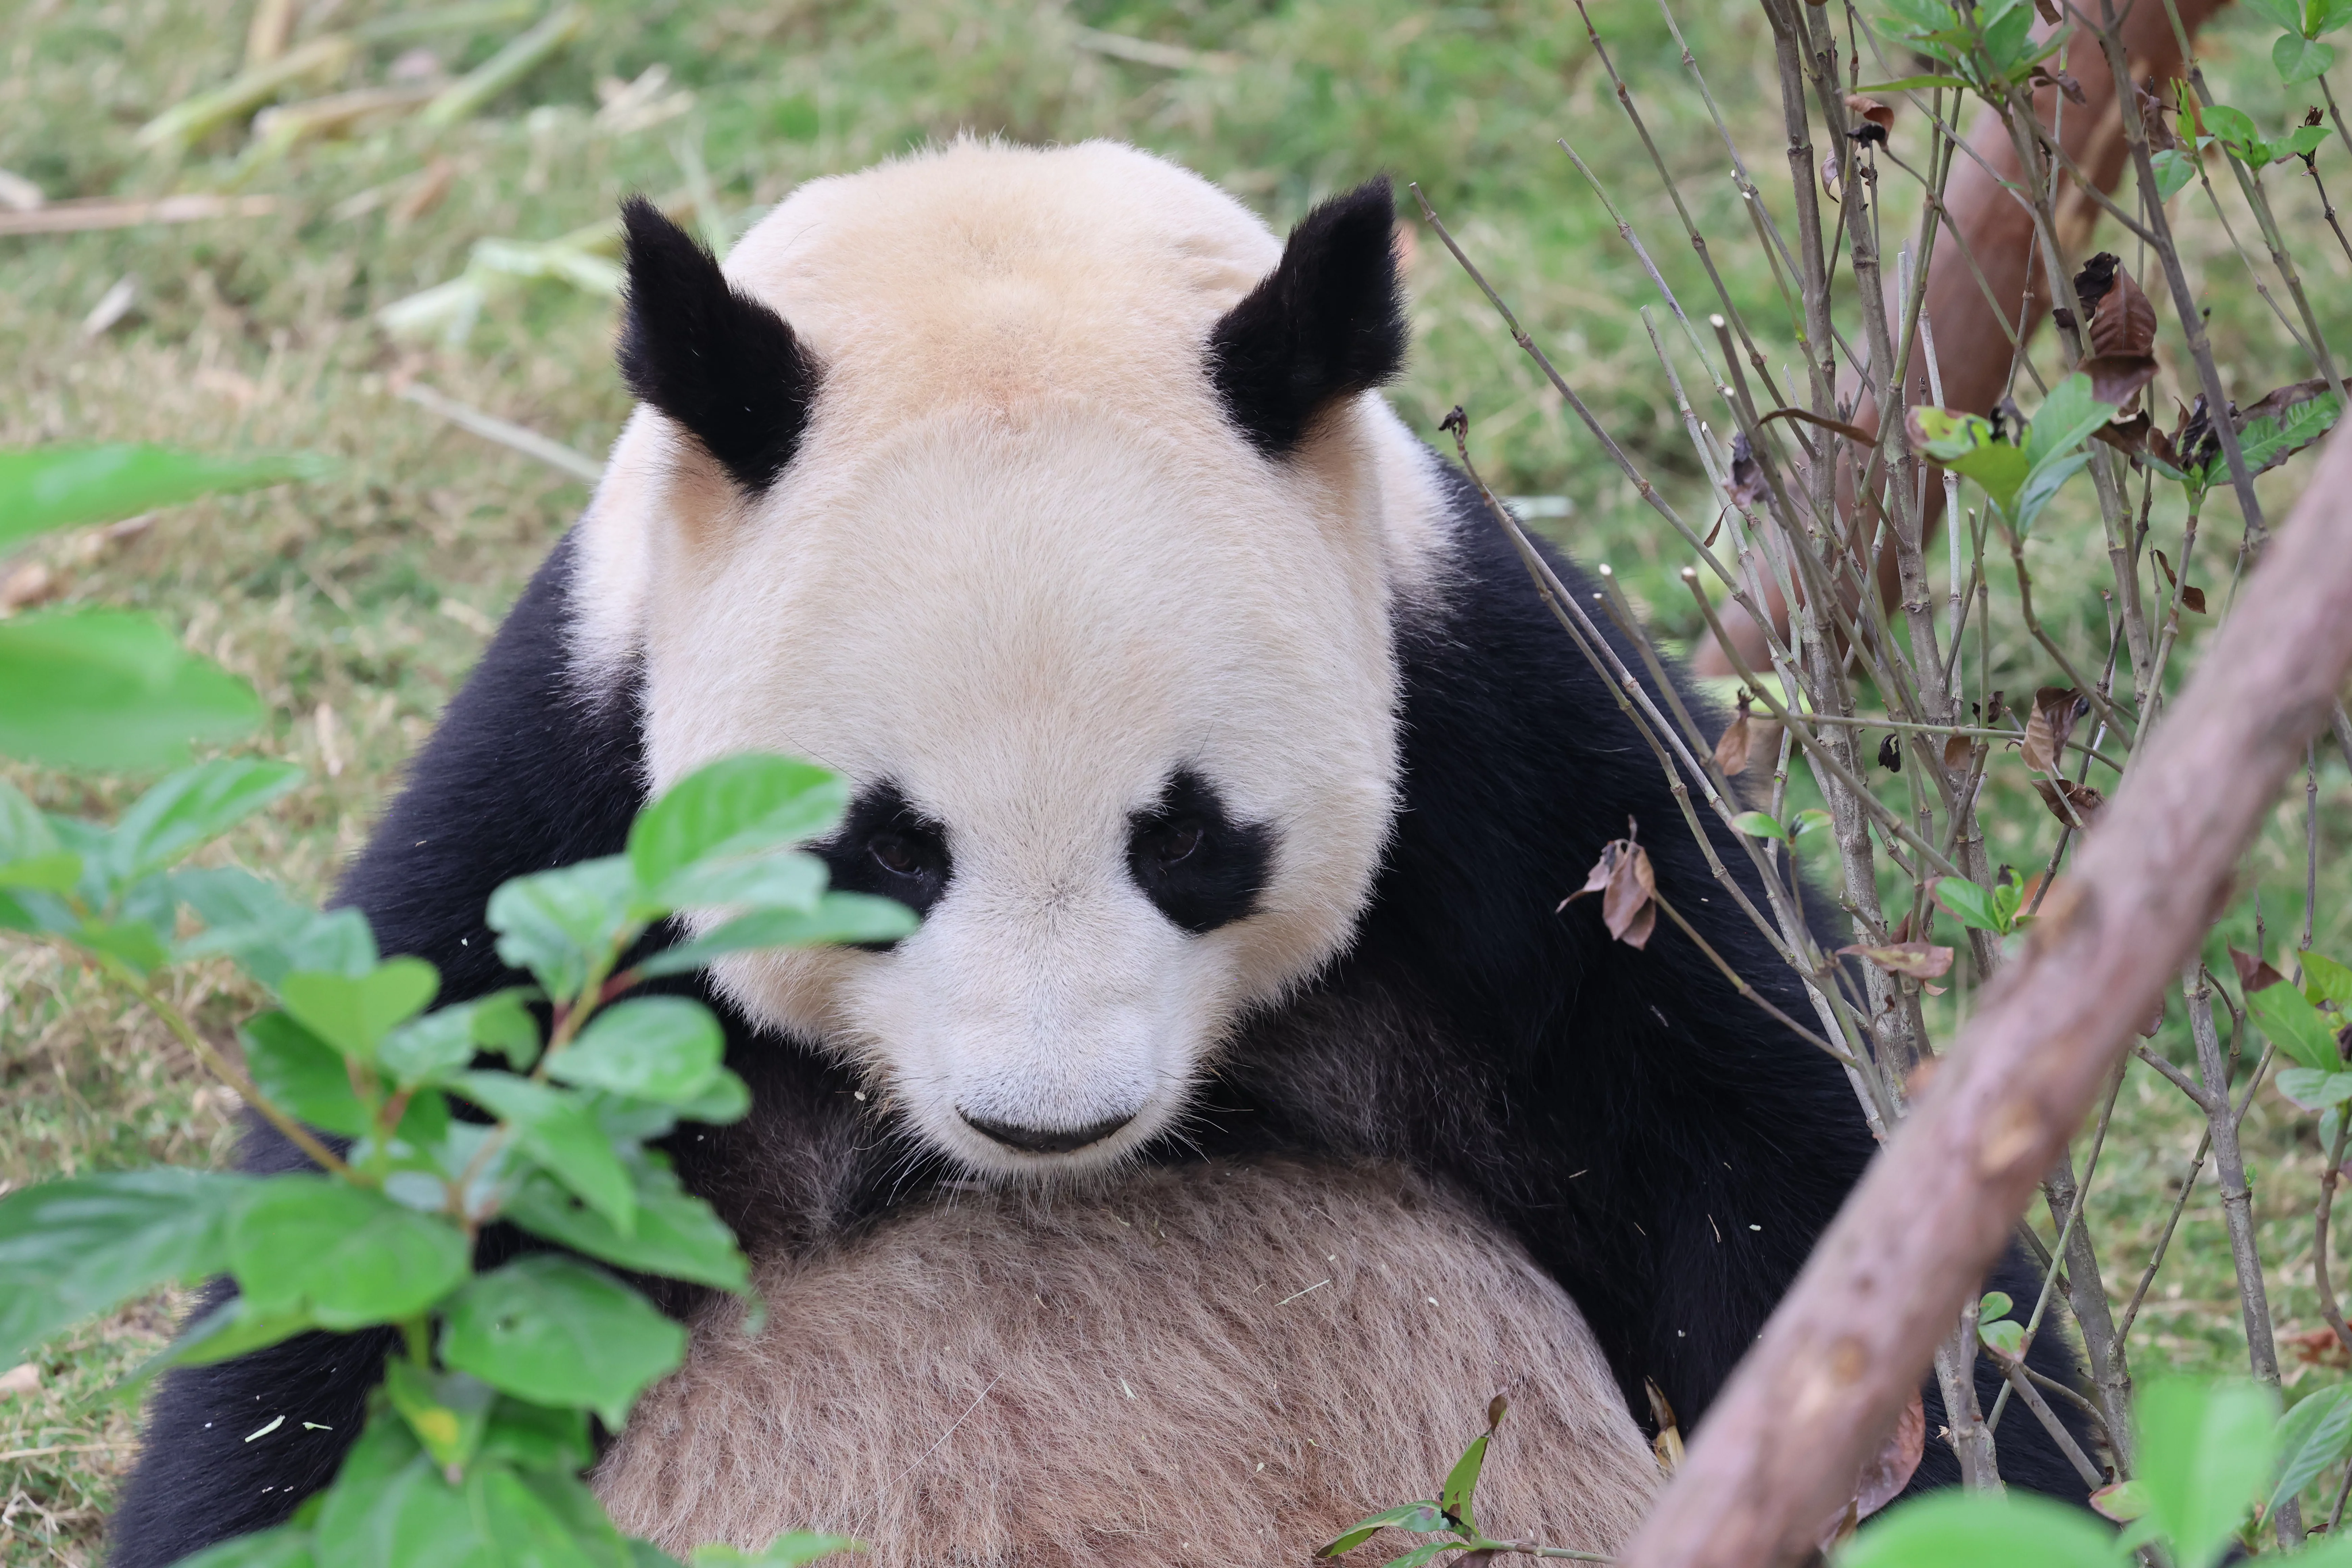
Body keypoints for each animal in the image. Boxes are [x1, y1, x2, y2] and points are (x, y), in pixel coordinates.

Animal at [107, 140, 2090, 1567]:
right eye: (887, 853)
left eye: (1191, 840)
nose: (1045, 1123)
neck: (984, 231)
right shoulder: (565, 841)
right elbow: (359, 1292)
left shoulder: (1514, 764)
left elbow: (1790, 1178)